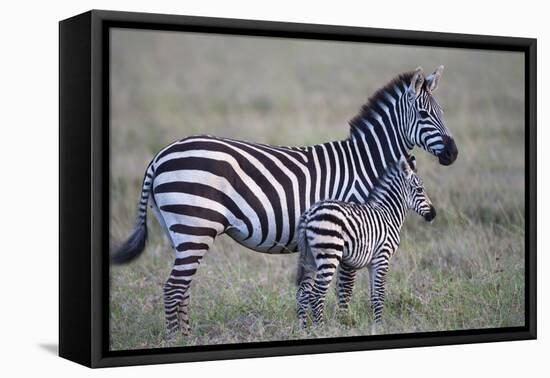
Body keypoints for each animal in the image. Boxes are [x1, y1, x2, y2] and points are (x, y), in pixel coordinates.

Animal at [111, 65, 458, 336]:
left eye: (443, 113)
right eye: (425, 115)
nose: (453, 154)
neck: (363, 165)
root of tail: (160, 155)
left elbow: (307, 290)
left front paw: (307, 328)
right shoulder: (350, 231)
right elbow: (344, 286)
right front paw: (343, 323)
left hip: (179, 232)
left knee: (180, 288)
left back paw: (186, 334)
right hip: (195, 226)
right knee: (173, 288)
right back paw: (178, 339)